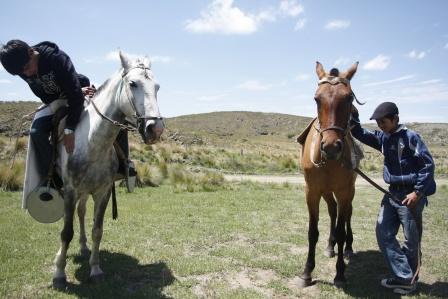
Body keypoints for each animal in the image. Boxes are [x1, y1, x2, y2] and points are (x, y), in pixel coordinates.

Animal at [52, 52, 164, 290]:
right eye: (132, 83)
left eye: (157, 87)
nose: (155, 129)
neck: (92, 142)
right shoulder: (70, 190)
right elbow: (66, 232)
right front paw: (59, 273)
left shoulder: (102, 192)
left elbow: (97, 230)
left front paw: (95, 270)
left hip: (86, 192)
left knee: (81, 212)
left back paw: (84, 247)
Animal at [298, 61, 360, 288]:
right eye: (317, 98)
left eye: (349, 98)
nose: (331, 147)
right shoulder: (312, 191)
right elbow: (312, 232)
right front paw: (307, 272)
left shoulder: (344, 191)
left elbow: (342, 230)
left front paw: (340, 273)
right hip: (326, 191)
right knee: (333, 211)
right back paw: (330, 245)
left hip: (348, 192)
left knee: (347, 214)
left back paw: (348, 248)